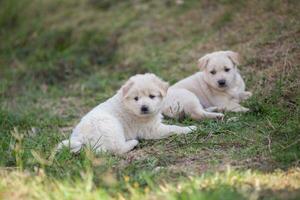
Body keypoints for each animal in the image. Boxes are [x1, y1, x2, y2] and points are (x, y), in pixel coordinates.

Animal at [58, 73, 197, 155]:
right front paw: (190, 128)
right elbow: (173, 128)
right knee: (115, 149)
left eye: (152, 96)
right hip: (111, 127)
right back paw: (132, 143)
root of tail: (80, 138)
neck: (129, 106)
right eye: (136, 98)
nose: (144, 108)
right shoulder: (152, 129)